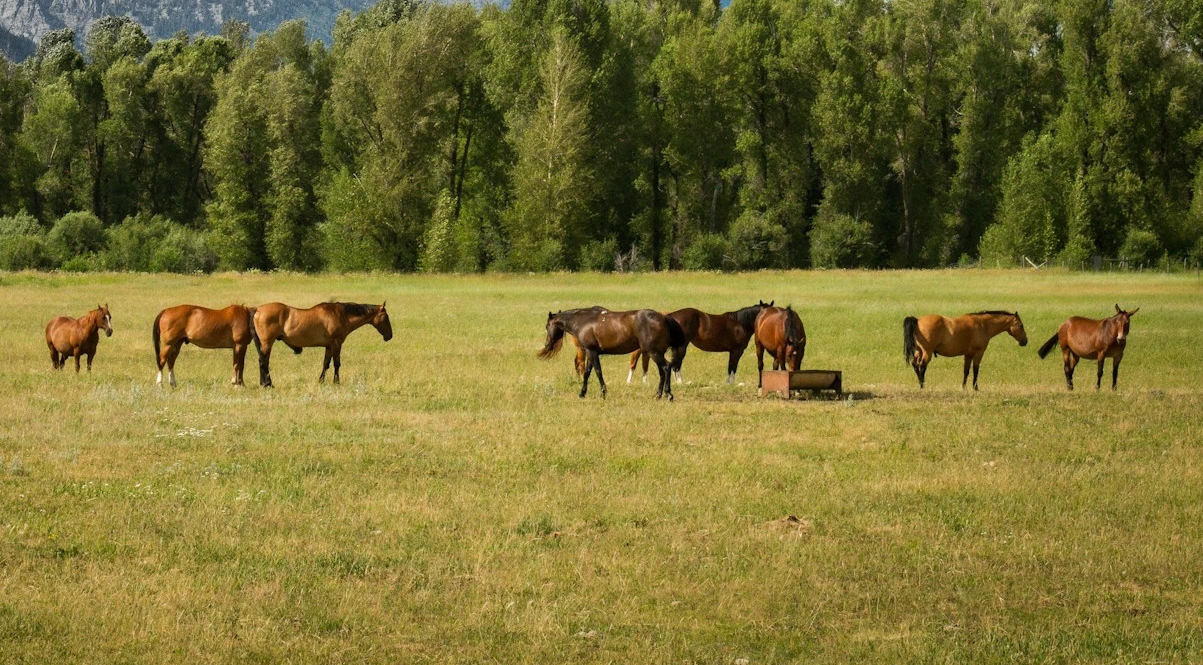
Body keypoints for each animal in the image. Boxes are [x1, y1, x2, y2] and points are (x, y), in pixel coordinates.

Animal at [255, 299, 394, 387]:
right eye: (386, 317)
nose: (390, 336)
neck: (341, 315)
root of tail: (257, 310)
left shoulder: (329, 346)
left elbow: (326, 364)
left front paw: (321, 381)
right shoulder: (337, 344)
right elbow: (337, 364)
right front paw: (336, 382)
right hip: (267, 344)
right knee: (264, 362)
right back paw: (267, 384)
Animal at [538, 307, 688, 399]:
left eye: (547, 326)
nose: (547, 345)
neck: (583, 321)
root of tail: (664, 318)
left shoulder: (592, 352)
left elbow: (598, 372)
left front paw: (603, 393)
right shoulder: (591, 353)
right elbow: (587, 373)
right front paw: (582, 393)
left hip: (654, 353)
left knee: (666, 368)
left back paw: (668, 394)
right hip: (656, 353)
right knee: (663, 371)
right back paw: (658, 395)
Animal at [625, 300, 774, 384]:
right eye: (765, 312)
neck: (740, 323)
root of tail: (670, 316)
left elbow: (730, 367)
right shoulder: (736, 351)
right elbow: (732, 367)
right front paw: (731, 383)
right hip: (681, 347)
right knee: (676, 365)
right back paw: (680, 382)